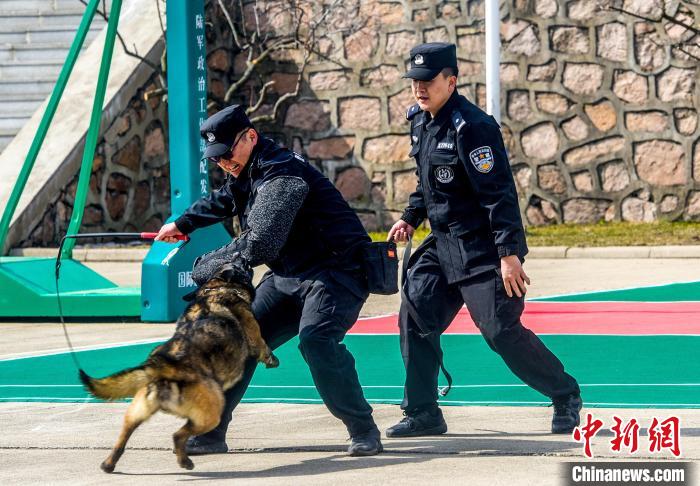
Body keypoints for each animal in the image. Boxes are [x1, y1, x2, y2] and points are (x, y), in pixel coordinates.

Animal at [79, 264, 278, 472]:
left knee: (124, 437)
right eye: (242, 266)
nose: (246, 260)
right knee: (178, 435)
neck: (215, 289)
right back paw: (185, 461)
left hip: (137, 411)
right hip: (210, 413)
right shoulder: (252, 329)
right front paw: (271, 358)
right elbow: (261, 344)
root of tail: (166, 368)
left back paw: (109, 464)